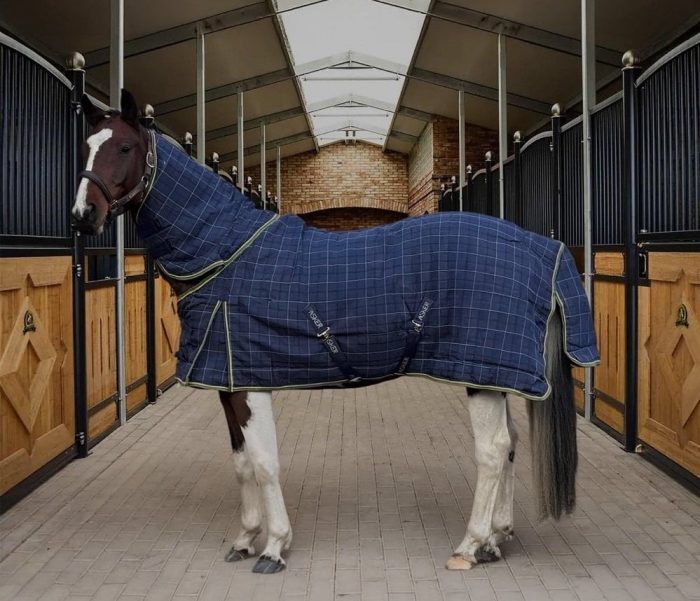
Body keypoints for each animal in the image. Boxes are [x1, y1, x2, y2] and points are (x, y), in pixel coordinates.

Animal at [71, 89, 599, 575]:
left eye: (123, 147)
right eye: (86, 147)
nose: (82, 217)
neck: (226, 254)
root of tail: (541, 247)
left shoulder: (251, 384)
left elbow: (264, 463)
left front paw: (274, 547)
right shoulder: (228, 382)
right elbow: (242, 464)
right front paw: (244, 539)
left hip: (481, 374)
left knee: (492, 452)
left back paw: (469, 547)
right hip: (494, 375)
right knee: (510, 446)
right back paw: (496, 539)